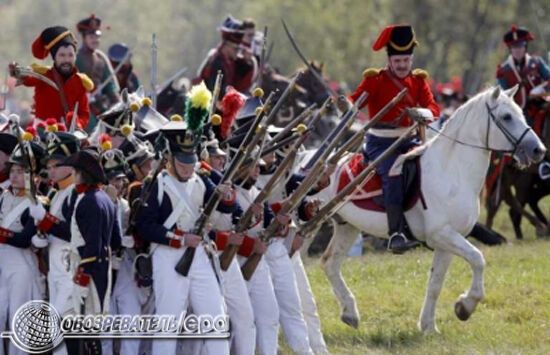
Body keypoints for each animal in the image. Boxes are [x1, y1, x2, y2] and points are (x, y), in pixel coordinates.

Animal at [310, 86, 548, 334]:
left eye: (521, 113)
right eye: (507, 117)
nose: (538, 150)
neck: (452, 170)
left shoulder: (447, 242)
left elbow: (435, 283)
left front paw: (429, 326)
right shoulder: (442, 234)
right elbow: (478, 258)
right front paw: (466, 305)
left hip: (347, 226)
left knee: (329, 263)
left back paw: (349, 313)